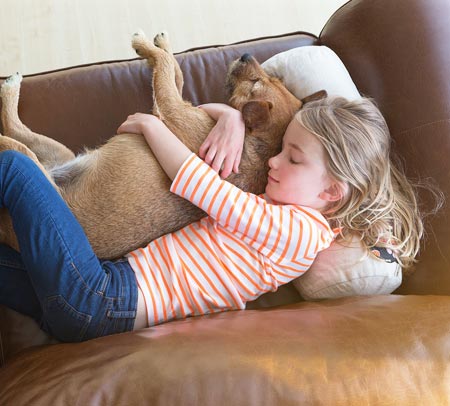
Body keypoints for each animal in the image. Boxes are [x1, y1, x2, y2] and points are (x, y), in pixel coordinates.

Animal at [0, 32, 306, 260]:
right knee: (13, 124)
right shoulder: (168, 106)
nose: (246, 55)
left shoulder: (170, 108)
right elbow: (173, 70)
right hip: (55, 153)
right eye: (268, 79)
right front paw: (162, 45)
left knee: (8, 137)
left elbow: (165, 67)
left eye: (255, 83)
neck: (259, 145)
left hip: (31, 167)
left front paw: (145, 46)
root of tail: (8, 236)